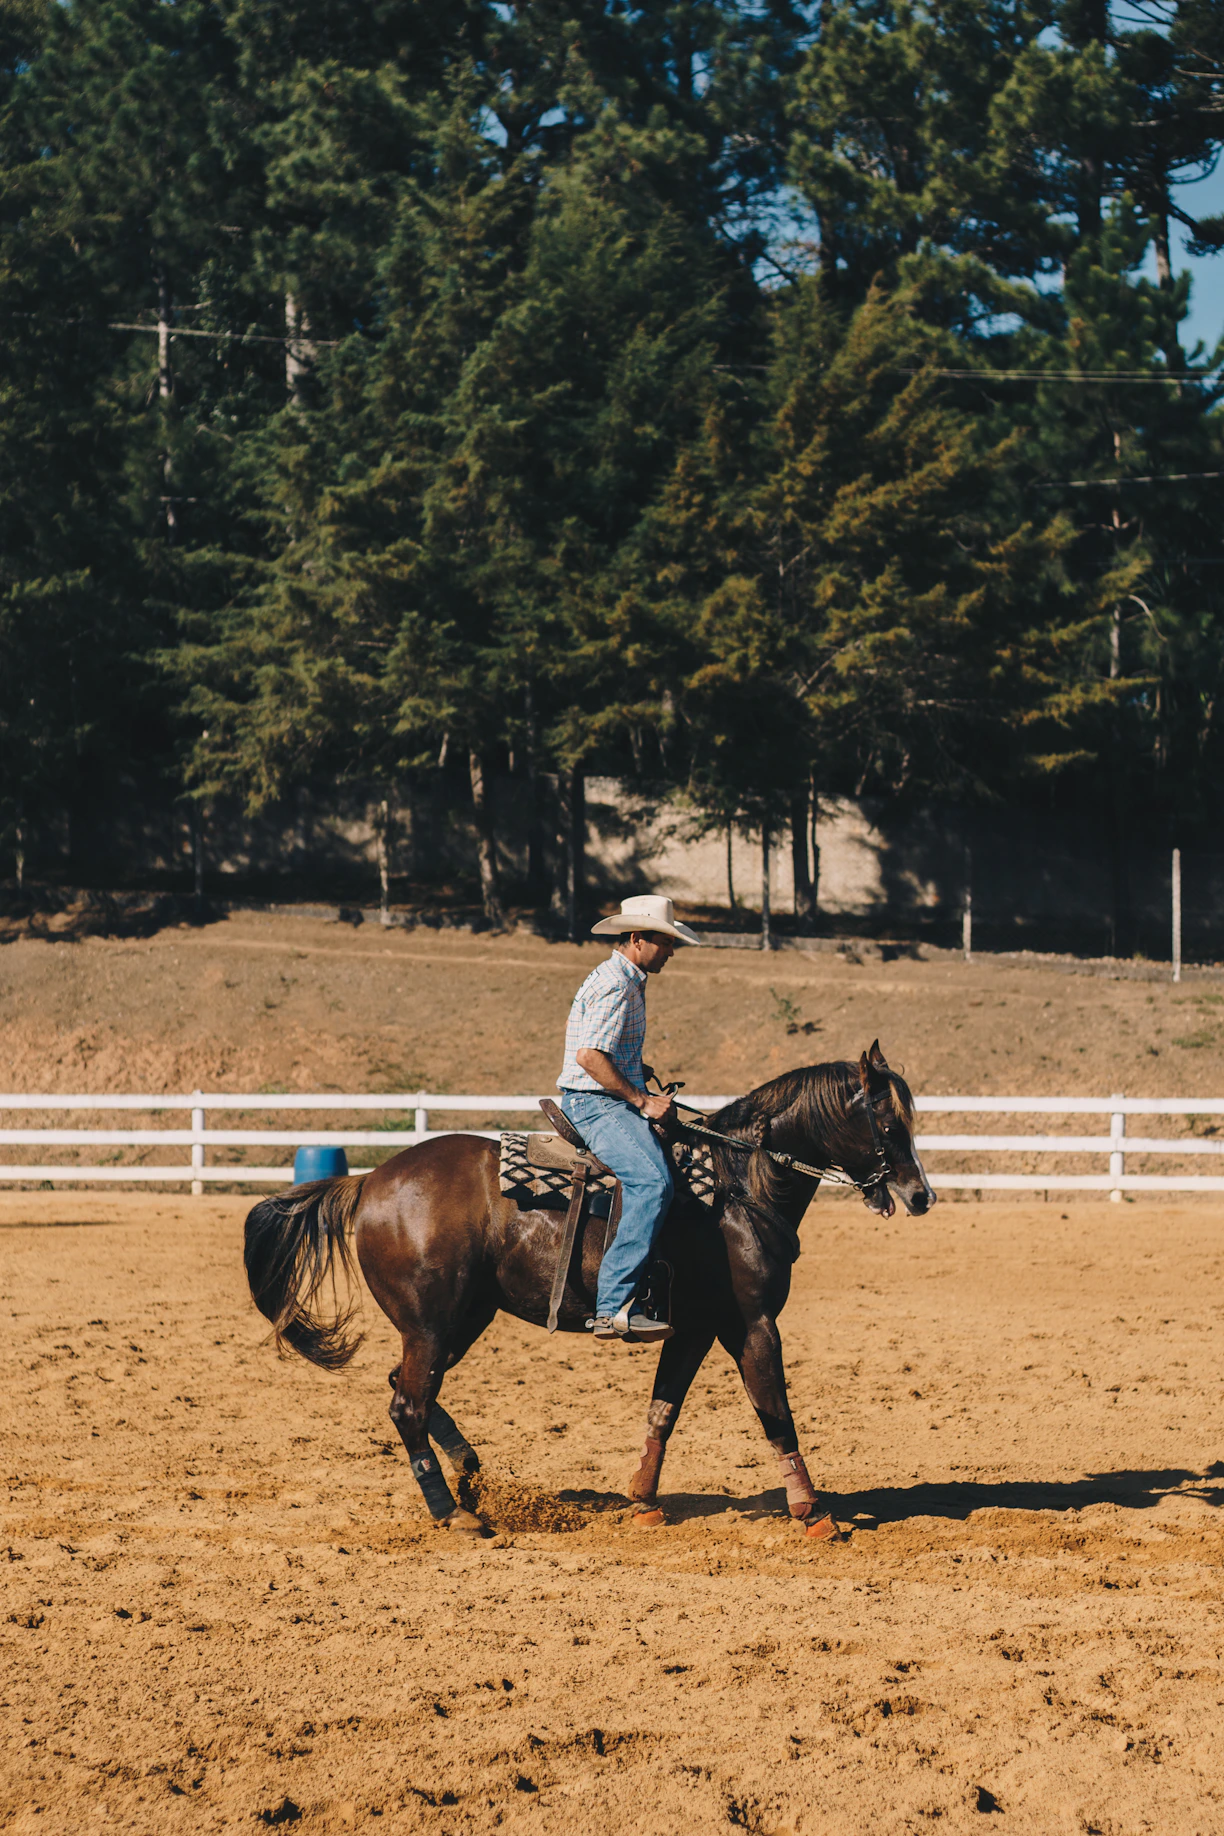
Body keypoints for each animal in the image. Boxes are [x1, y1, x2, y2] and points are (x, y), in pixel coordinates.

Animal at [243, 1042, 934, 1539]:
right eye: (887, 1122)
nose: (920, 1195)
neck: (740, 1185)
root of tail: (368, 1181)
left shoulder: (695, 1328)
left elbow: (663, 1410)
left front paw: (645, 1502)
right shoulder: (753, 1324)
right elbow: (776, 1413)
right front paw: (813, 1512)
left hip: (461, 1320)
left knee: (407, 1389)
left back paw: (468, 1469)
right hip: (433, 1325)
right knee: (406, 1404)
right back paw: (454, 1514)